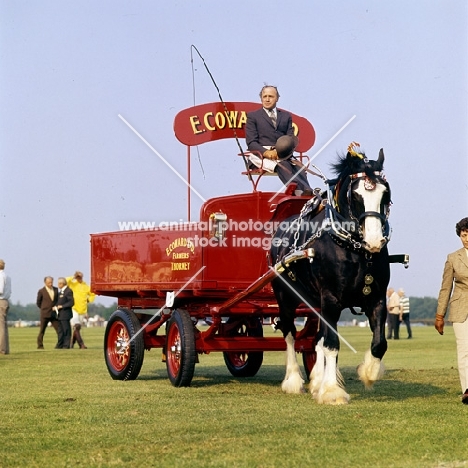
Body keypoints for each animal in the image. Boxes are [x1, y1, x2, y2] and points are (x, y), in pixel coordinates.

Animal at [270, 144, 392, 404]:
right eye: (355, 195)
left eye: (385, 193)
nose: (374, 240)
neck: (353, 249)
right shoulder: (332, 299)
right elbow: (332, 344)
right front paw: (332, 392)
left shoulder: (376, 298)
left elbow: (379, 344)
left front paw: (367, 372)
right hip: (286, 297)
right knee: (289, 334)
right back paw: (293, 380)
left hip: (317, 302)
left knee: (317, 338)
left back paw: (316, 380)